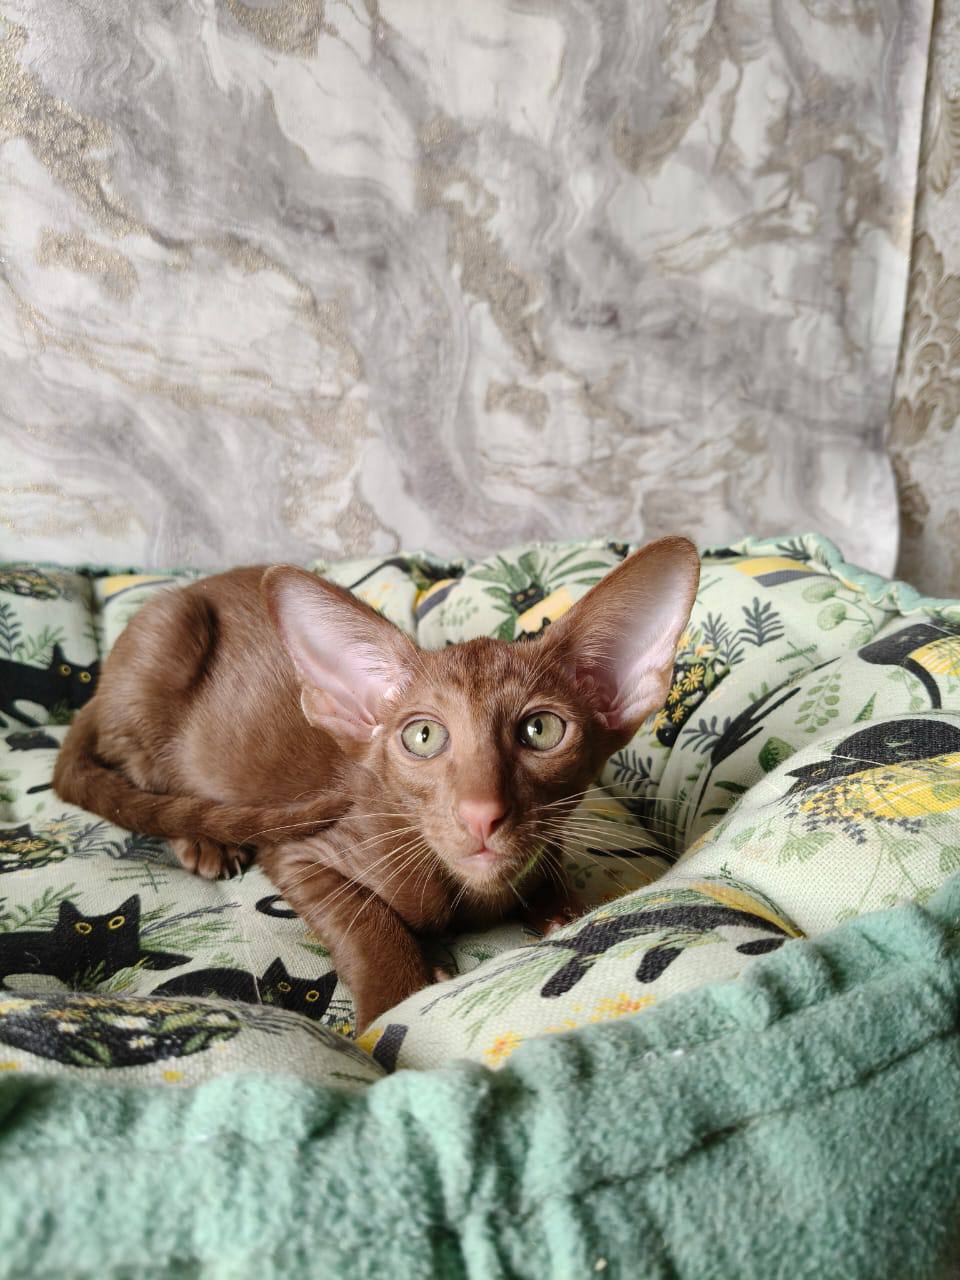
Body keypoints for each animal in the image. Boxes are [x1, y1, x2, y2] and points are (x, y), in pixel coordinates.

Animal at [0, 894, 187, 988]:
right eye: (83, 927)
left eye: (116, 922)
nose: (100, 932)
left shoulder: (130, 957)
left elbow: (149, 958)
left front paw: (180, 960)